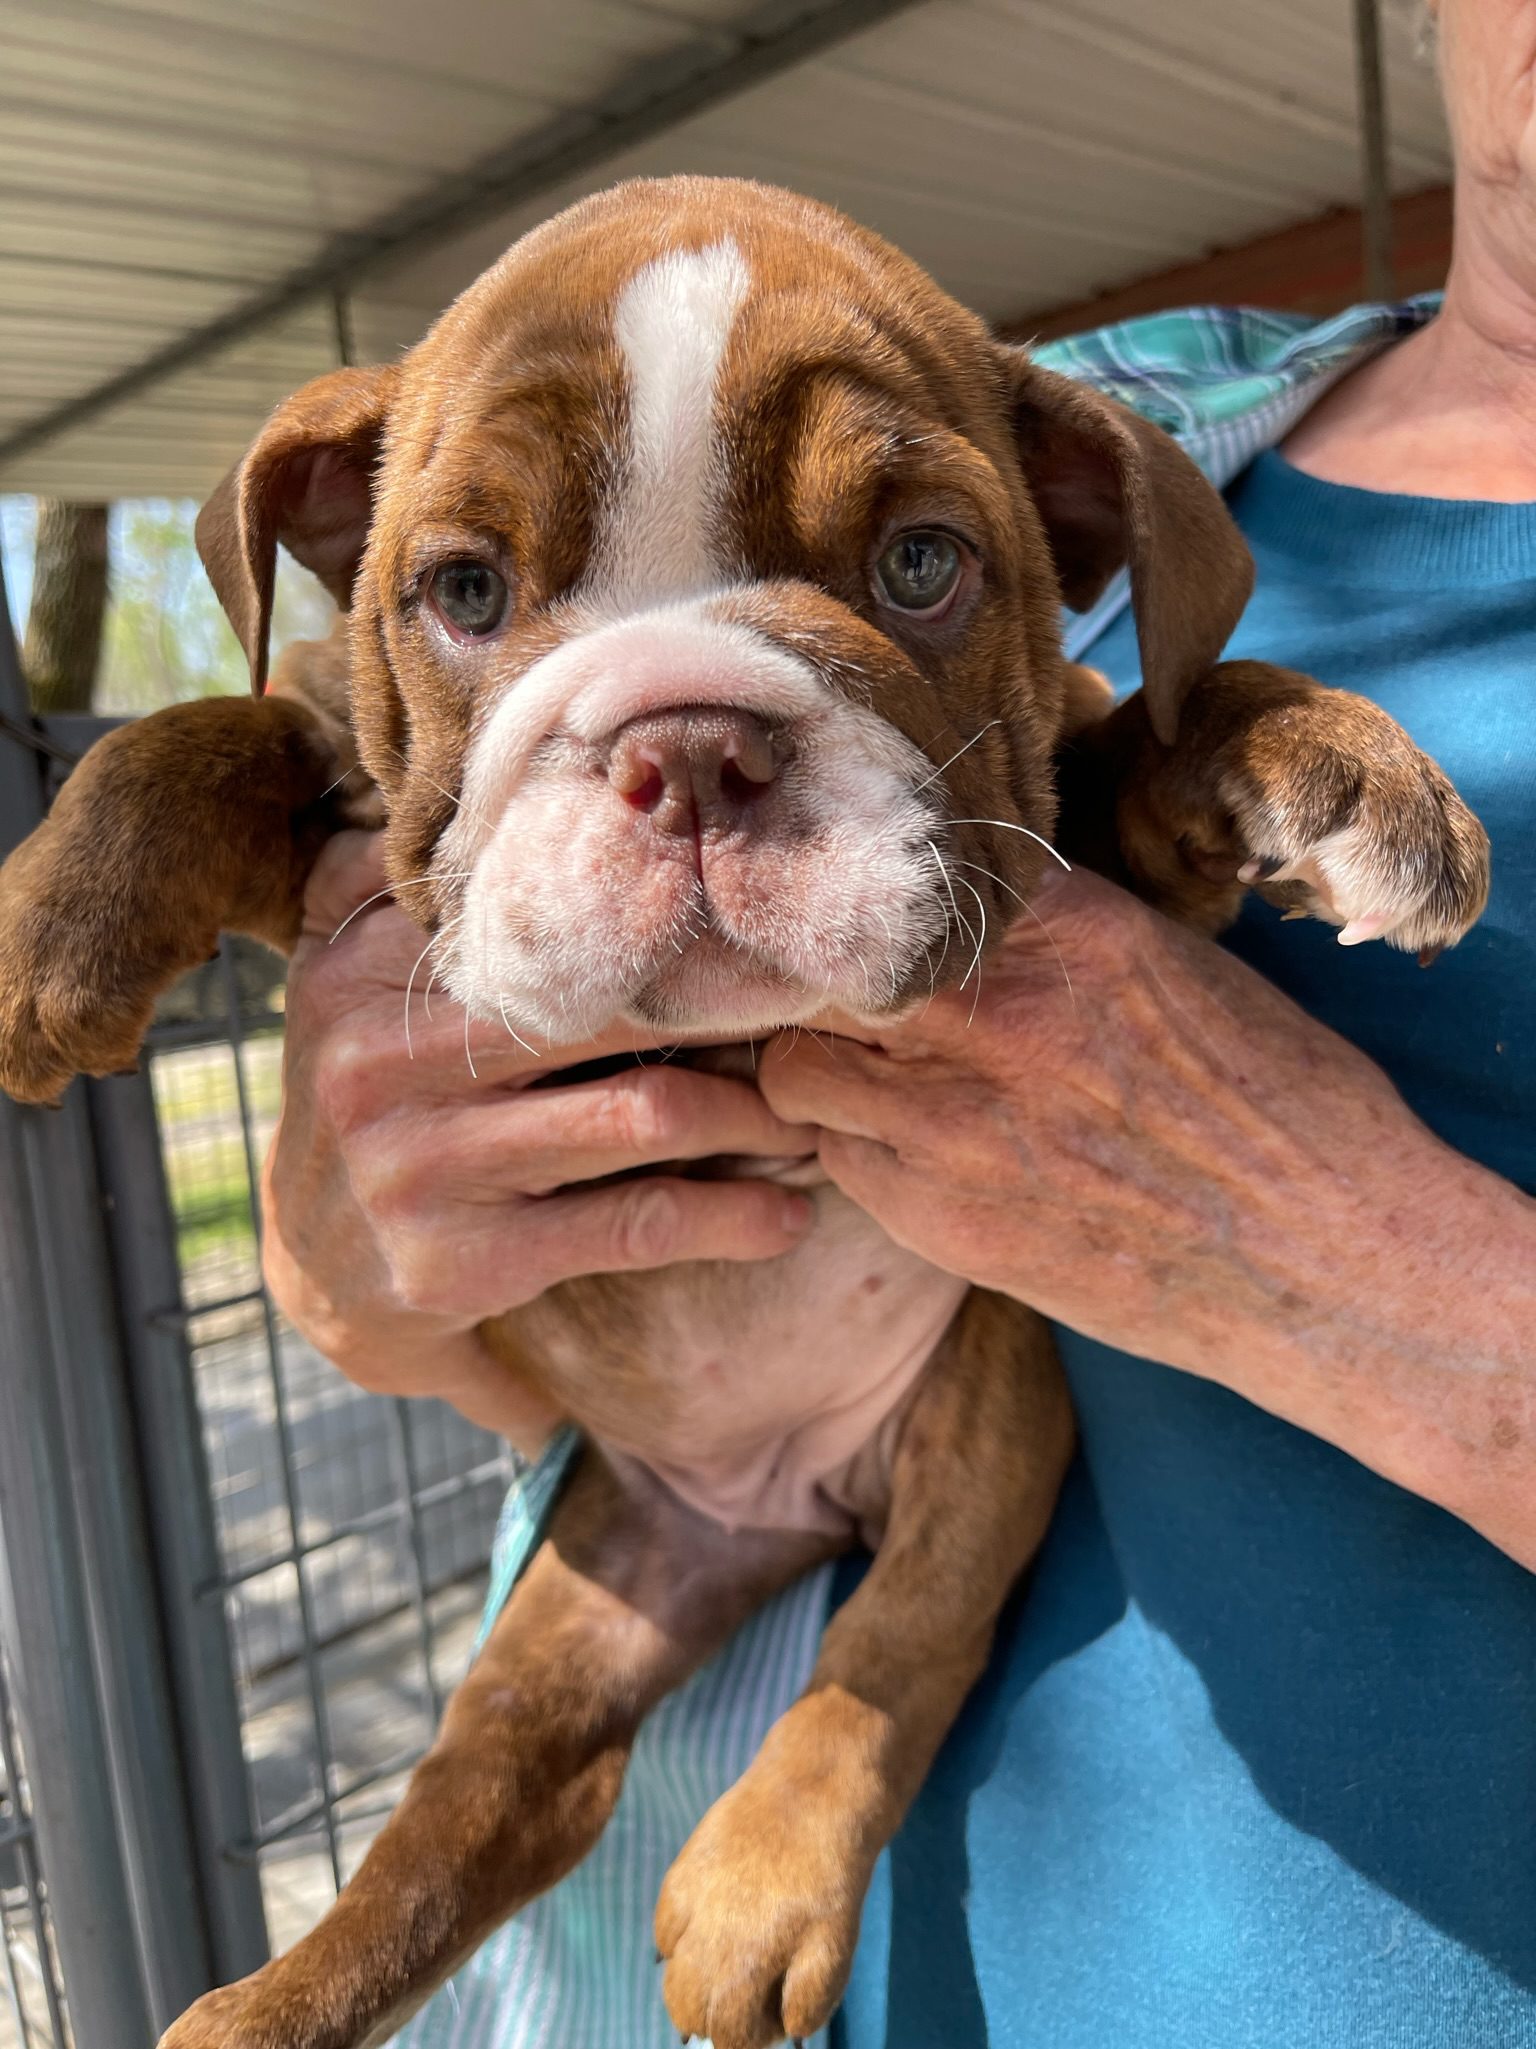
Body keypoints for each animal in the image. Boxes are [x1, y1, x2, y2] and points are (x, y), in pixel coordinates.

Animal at [0, 176, 1490, 2049]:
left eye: (921, 566)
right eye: (465, 590)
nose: (690, 739)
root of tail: (775, 1500)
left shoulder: (1112, 842)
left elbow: (1160, 721)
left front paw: (1333, 768)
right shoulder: (347, 825)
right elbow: (214, 732)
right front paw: (55, 924)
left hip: (980, 1412)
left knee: (897, 1639)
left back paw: (757, 1881)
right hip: (592, 1596)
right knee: (473, 1807)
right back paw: (263, 2004)